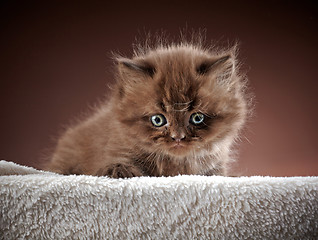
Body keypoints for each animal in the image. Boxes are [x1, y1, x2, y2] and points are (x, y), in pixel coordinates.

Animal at [45, 39, 248, 178]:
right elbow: (113, 166)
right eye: (158, 120)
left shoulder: (215, 169)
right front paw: (125, 172)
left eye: (197, 118)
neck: (174, 166)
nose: (178, 137)